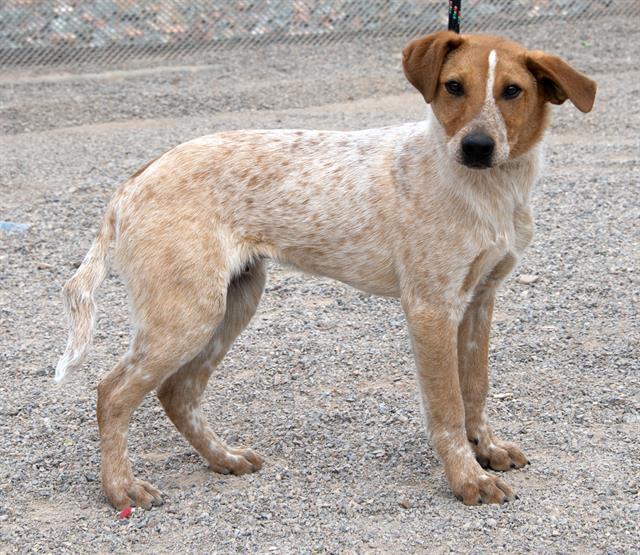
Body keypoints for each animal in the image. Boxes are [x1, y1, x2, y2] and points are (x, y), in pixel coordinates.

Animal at [53, 31, 596, 508]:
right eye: (453, 86)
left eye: (512, 91)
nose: (477, 147)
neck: (488, 190)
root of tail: (131, 184)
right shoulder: (431, 308)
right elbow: (447, 407)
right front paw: (467, 479)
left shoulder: (480, 300)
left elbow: (476, 389)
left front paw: (486, 450)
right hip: (187, 316)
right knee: (111, 394)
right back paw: (120, 489)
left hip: (234, 302)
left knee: (177, 391)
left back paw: (223, 458)